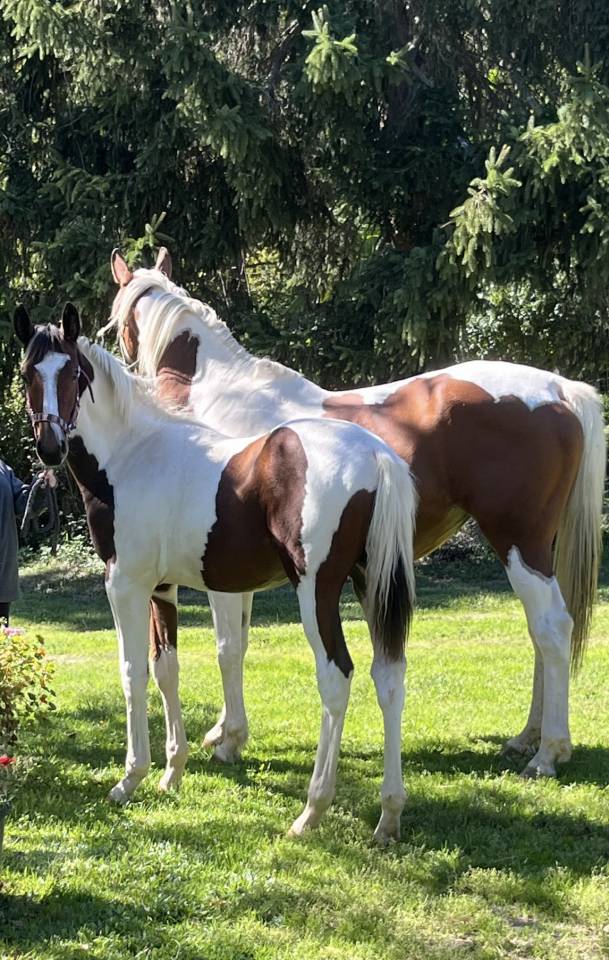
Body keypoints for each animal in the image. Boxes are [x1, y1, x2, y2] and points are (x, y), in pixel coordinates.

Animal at [15, 303, 418, 843]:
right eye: (27, 373)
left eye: (74, 374)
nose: (50, 446)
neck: (135, 453)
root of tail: (376, 455)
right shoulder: (162, 589)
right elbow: (167, 669)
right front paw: (171, 772)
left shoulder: (125, 585)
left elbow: (132, 672)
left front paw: (129, 779)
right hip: (369, 585)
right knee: (388, 678)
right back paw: (388, 815)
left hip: (317, 591)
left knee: (336, 678)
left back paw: (312, 811)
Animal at [105, 248, 606, 781]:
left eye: (118, 322)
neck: (217, 398)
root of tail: (559, 390)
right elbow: (238, 643)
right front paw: (226, 731)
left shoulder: (220, 571)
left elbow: (228, 648)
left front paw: (229, 739)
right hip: (538, 547)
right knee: (539, 634)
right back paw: (526, 736)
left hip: (518, 542)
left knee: (552, 628)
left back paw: (547, 751)